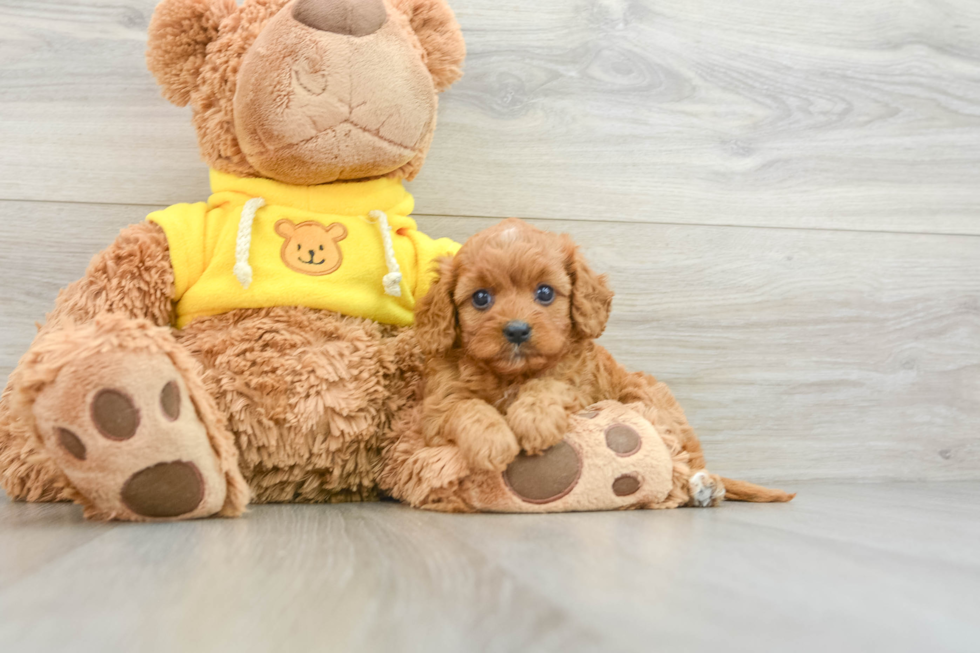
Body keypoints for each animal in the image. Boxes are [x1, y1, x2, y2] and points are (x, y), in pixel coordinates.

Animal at [416, 218, 796, 504]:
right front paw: (492, 440)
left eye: (545, 292)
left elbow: (550, 385)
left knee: (680, 459)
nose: (517, 330)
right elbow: (464, 407)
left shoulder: (579, 387)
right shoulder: (435, 405)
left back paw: (704, 485)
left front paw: (534, 420)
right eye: (481, 298)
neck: (513, 375)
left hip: (649, 401)